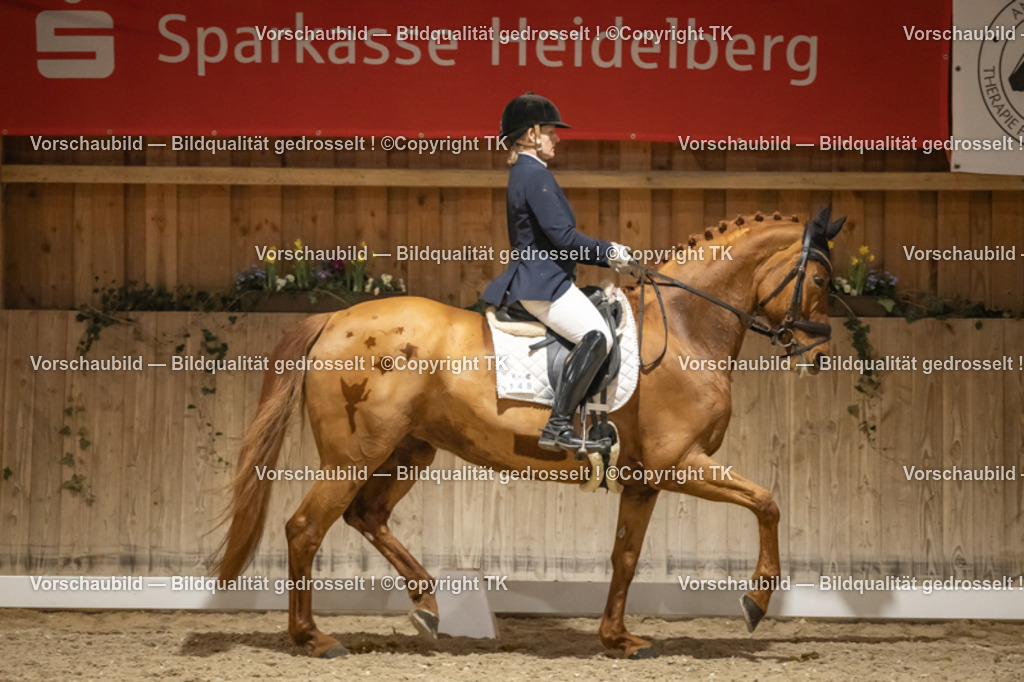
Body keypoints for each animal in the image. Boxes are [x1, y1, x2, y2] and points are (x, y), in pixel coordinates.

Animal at [213, 208, 846, 659]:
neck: (687, 329)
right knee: (305, 528)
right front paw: (756, 602)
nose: (818, 353)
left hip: (408, 450)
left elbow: (626, 556)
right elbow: (767, 502)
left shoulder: (645, 478)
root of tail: (335, 318)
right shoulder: (679, 462)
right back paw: (313, 638)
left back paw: (428, 604)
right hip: (354, 455)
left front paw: (618, 639)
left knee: (365, 516)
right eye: (818, 278)